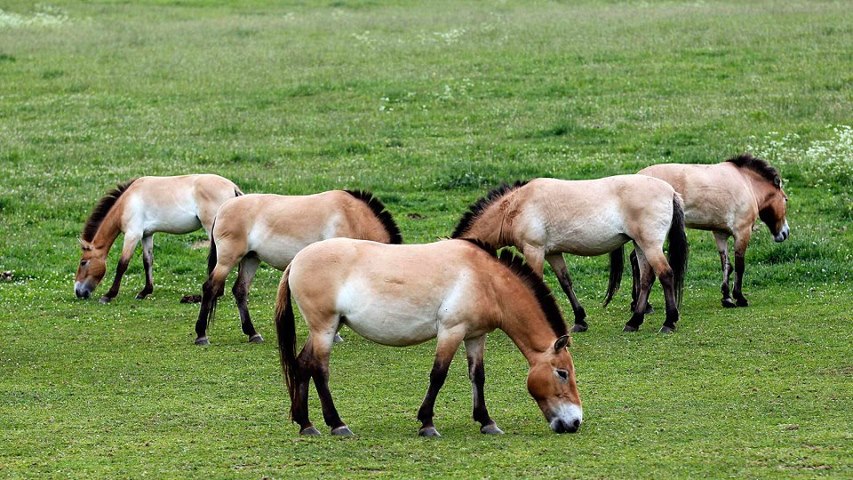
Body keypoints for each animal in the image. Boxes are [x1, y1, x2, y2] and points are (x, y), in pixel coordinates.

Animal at [72, 175, 243, 304]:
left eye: (83, 262)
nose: (78, 292)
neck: (126, 202)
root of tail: (233, 187)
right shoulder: (146, 235)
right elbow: (147, 261)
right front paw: (145, 291)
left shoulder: (132, 234)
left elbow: (122, 264)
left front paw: (109, 295)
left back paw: (218, 292)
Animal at [195, 190, 402, 344]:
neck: (352, 217)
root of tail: (223, 208)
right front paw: (335, 335)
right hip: (227, 260)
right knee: (210, 287)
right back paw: (201, 335)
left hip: (250, 259)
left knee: (240, 290)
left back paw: (252, 333)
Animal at [276, 238, 584, 436]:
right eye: (562, 373)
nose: (575, 422)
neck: (485, 279)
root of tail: (296, 260)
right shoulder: (451, 330)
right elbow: (439, 375)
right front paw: (427, 424)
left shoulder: (476, 336)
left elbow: (478, 376)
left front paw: (486, 421)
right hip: (324, 329)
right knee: (319, 370)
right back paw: (337, 424)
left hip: (324, 329)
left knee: (302, 365)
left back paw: (306, 424)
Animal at [452, 176, 684, 334]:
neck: (517, 206)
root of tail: (670, 191)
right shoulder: (553, 253)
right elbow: (565, 282)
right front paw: (580, 320)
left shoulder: (534, 250)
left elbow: (535, 282)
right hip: (640, 245)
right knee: (647, 279)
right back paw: (634, 322)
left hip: (650, 244)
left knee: (665, 274)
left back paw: (669, 322)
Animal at [636, 154, 788, 308]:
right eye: (786, 199)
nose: (785, 233)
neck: (746, 182)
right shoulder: (742, 233)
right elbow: (740, 266)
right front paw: (739, 297)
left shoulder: (720, 234)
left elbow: (727, 265)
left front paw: (727, 298)